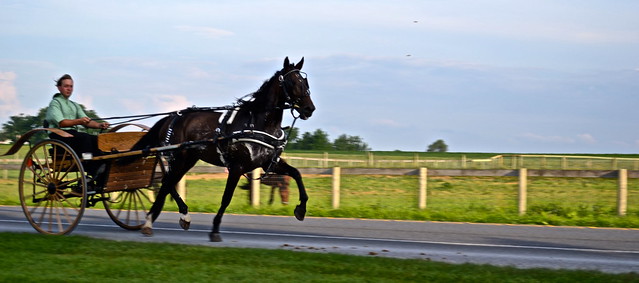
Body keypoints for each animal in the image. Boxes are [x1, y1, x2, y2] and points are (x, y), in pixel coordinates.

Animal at [126, 57, 314, 242]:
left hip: (188, 159)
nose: (309, 109)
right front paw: (215, 229)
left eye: (305, 82)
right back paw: (149, 222)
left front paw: (301, 209)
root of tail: (171, 117)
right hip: (178, 158)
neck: (257, 124)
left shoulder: (269, 162)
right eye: (292, 82)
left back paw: (181, 216)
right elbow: (226, 198)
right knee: (166, 183)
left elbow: (296, 173)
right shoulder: (237, 167)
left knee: (168, 182)